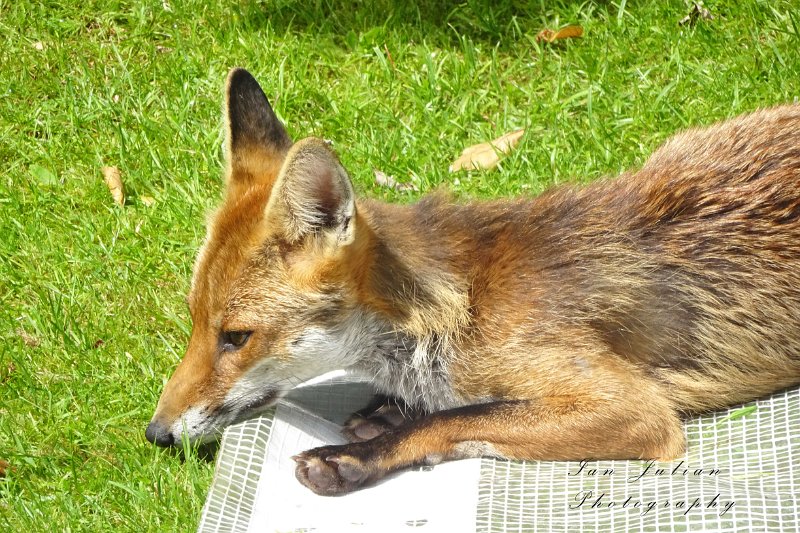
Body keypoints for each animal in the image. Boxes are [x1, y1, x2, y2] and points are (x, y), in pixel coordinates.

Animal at [146, 67, 800, 496]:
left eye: (236, 337)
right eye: (194, 322)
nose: (156, 434)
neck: (457, 308)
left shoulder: (635, 410)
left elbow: (459, 418)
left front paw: (361, 453)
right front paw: (386, 412)